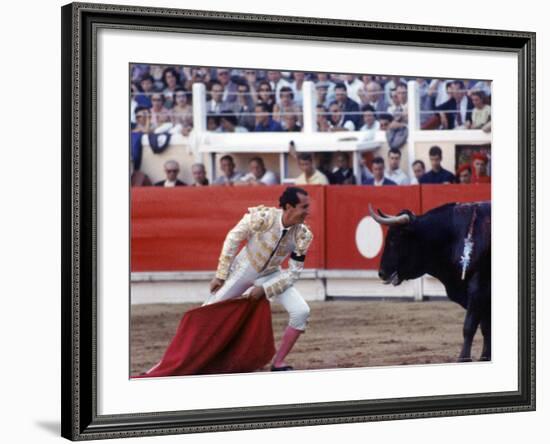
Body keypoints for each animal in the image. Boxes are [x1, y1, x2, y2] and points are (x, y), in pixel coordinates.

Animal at [374, 203, 494, 362]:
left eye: (395, 239)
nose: (381, 273)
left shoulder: (478, 288)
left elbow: (470, 326)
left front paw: (463, 358)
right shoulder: (482, 297)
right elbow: (486, 327)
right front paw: (485, 357)